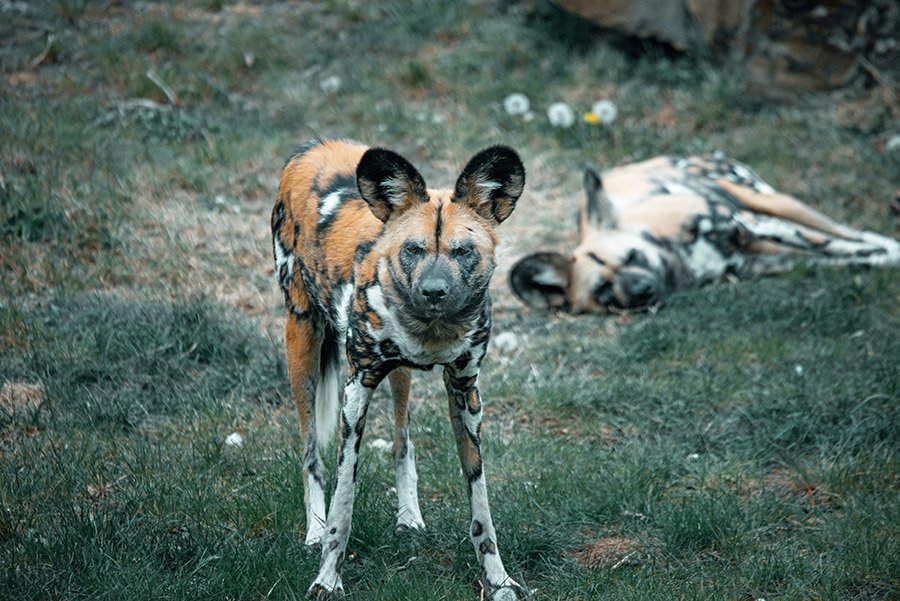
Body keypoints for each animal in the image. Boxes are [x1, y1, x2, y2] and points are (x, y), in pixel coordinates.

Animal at [272, 138, 528, 596]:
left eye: (463, 252)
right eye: (413, 249)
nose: (433, 291)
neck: (432, 329)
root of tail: (312, 146)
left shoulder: (465, 391)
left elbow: (481, 508)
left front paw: (498, 581)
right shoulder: (356, 390)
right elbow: (344, 503)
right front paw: (327, 579)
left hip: (400, 375)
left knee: (402, 440)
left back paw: (409, 516)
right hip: (300, 341)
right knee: (310, 455)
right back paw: (314, 529)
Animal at [510, 154, 896, 314]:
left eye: (633, 256)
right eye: (604, 290)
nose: (642, 289)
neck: (682, 265)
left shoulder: (745, 224)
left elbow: (846, 247)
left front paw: (891, 255)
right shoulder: (764, 262)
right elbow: (846, 259)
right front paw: (876, 261)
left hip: (770, 204)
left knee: (842, 231)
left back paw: (886, 242)